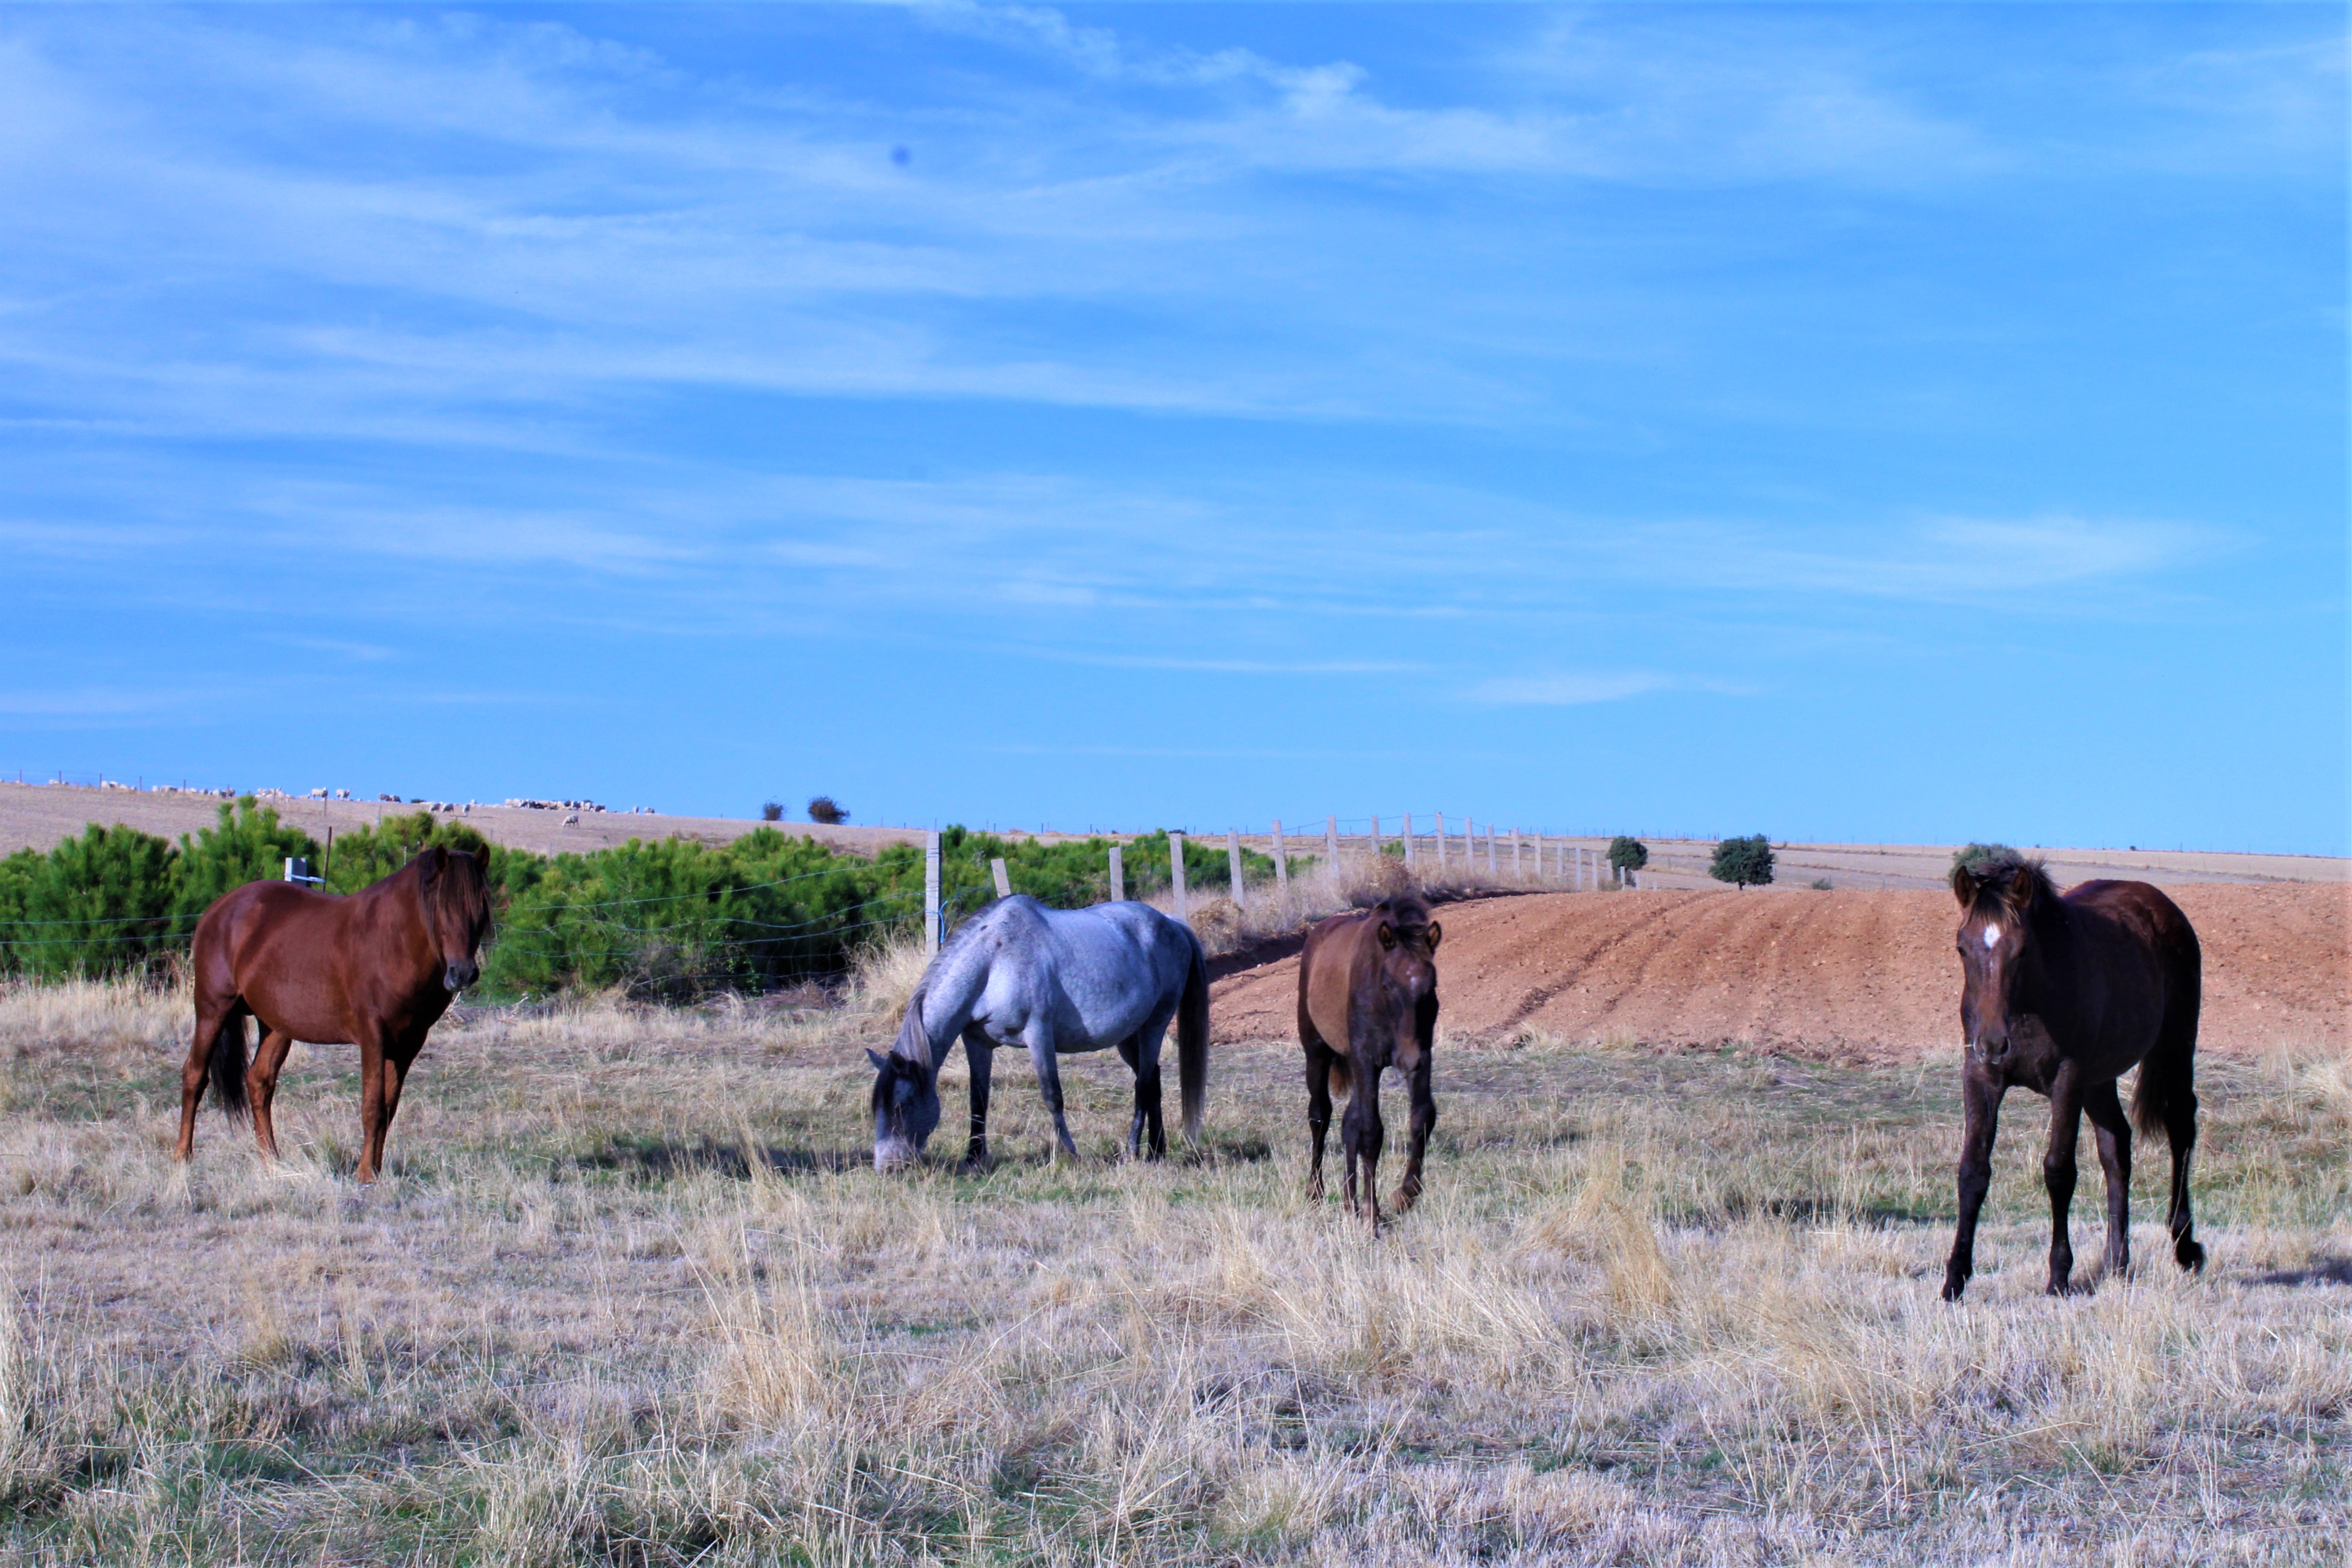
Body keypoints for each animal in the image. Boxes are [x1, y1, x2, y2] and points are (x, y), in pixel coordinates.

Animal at [173, 851, 491, 1185]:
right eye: (443, 906)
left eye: (480, 907)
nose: (462, 973)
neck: (393, 941)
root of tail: (219, 908)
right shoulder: (373, 1035)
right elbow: (372, 1105)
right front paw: (365, 1173)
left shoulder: (409, 1043)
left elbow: (388, 1108)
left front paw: (377, 1169)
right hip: (212, 1010)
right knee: (194, 1075)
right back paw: (183, 1156)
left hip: (276, 1026)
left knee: (259, 1082)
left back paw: (271, 1161)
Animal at [880, 893, 1223, 1175]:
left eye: (901, 1106)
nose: (886, 1167)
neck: (996, 959)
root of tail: (1173, 924)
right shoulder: (977, 1042)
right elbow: (979, 1100)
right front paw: (973, 1158)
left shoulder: (1039, 1035)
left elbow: (1053, 1097)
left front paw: (1072, 1156)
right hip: (1129, 1036)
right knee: (1154, 1082)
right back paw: (1157, 1150)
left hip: (1154, 1026)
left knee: (1144, 1086)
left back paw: (1135, 1151)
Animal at [1298, 888, 1439, 1232]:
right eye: (1387, 985)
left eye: (1431, 987)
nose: (1406, 1061)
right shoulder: (1367, 1060)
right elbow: (1371, 1132)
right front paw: (1372, 1214)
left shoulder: (1422, 1054)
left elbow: (1421, 1118)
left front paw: (1404, 1196)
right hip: (1317, 1051)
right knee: (1320, 1116)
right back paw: (1316, 1191)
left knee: (1348, 1122)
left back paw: (1349, 1203)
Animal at [1938, 851, 2192, 1307]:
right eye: (1961, 948)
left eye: (2021, 950)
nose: (1992, 1042)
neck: (2029, 1002)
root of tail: (2161, 906)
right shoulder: (1981, 1076)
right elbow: (1972, 1172)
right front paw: (1954, 1280)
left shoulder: (2067, 1079)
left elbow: (2058, 1171)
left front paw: (2058, 1276)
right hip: (2099, 1081)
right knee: (2116, 1148)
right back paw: (2116, 1263)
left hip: (2174, 1048)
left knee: (2180, 1127)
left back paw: (2185, 1245)